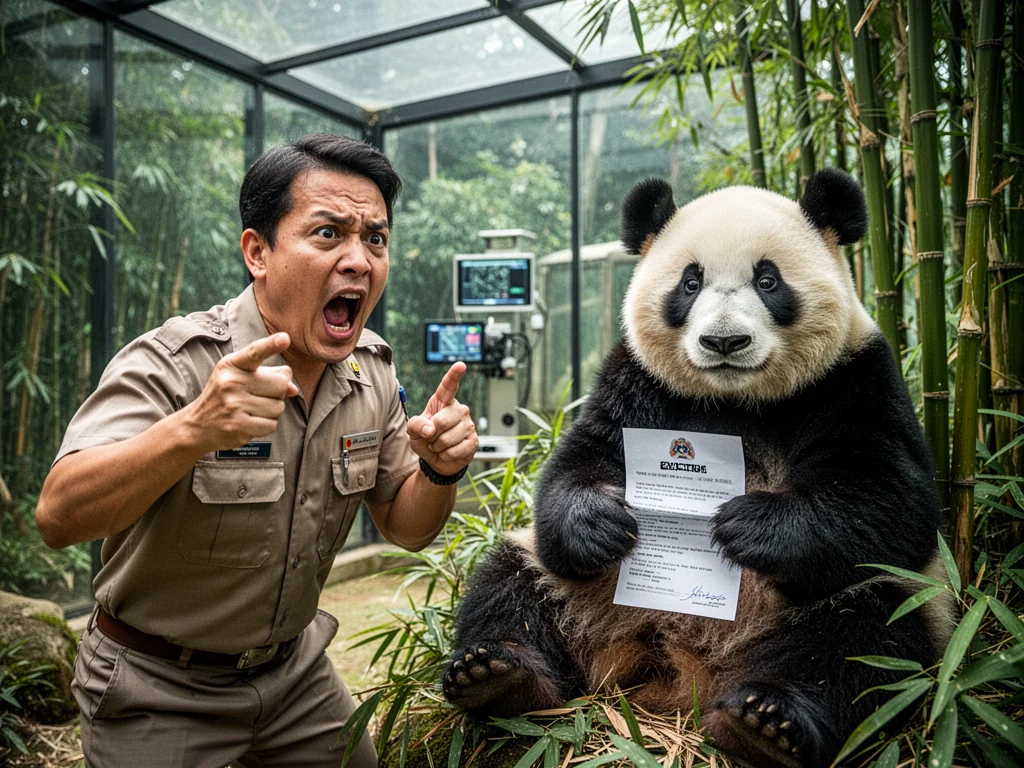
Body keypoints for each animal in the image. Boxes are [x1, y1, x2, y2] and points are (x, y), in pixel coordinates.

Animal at [441, 169, 953, 768]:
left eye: (768, 280)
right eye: (690, 283)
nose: (724, 341)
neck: (734, 399)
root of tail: (685, 665)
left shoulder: (855, 377)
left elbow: (894, 497)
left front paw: (748, 525)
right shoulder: (635, 380)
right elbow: (578, 461)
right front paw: (598, 522)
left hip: (886, 604)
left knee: (864, 638)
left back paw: (767, 722)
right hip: (574, 592)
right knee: (511, 583)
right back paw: (498, 676)